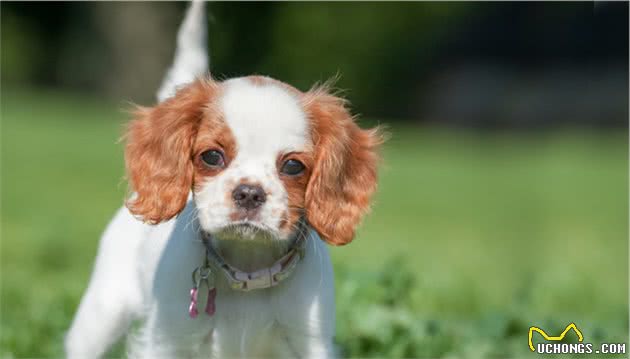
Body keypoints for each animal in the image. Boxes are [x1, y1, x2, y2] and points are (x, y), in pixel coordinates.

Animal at [64, 2, 382, 358]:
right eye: (212, 157)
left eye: (293, 166)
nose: (249, 193)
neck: (247, 269)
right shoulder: (165, 340)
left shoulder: (311, 342)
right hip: (102, 313)